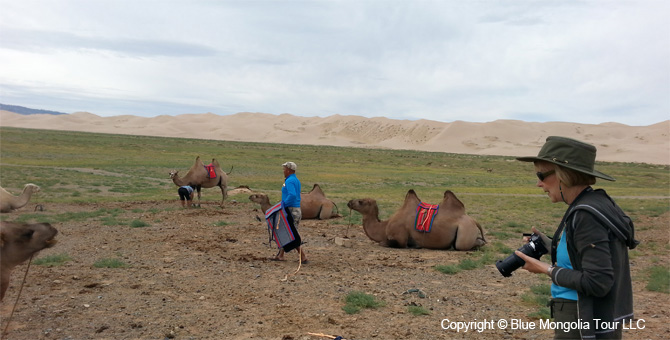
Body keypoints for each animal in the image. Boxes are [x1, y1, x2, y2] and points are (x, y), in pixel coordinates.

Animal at [350, 189, 486, 250]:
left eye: (360, 202)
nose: (349, 202)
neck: (384, 226)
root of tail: (474, 220)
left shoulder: (400, 238)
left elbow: (384, 243)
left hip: (465, 232)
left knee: (460, 245)